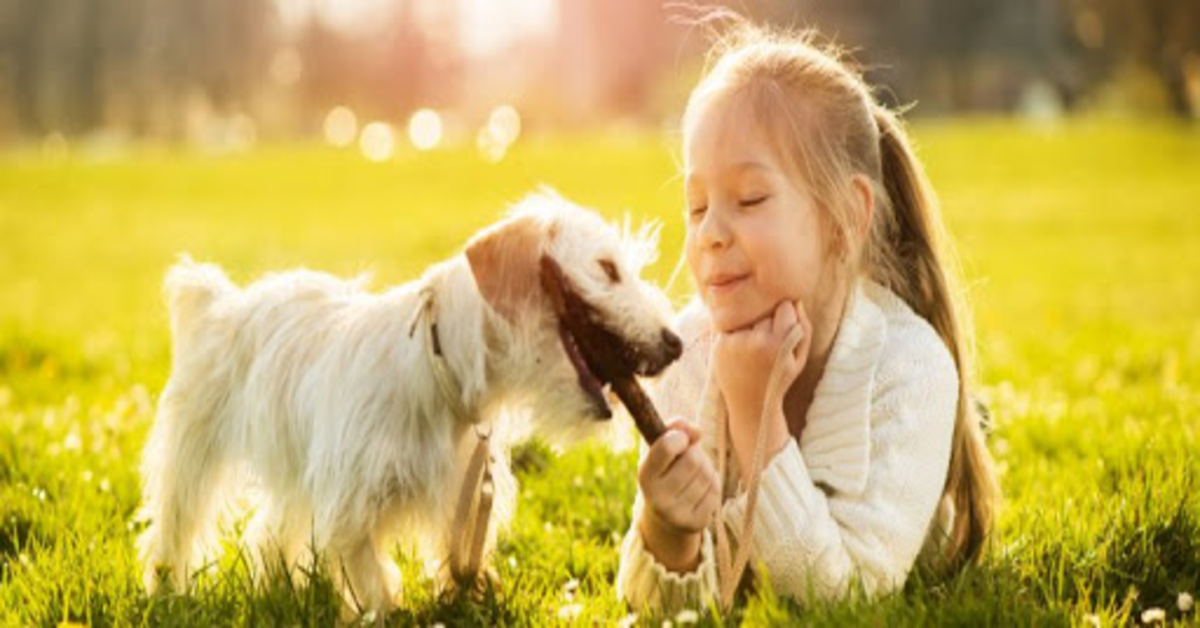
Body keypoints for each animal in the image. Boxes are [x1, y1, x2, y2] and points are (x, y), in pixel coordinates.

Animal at [136, 189, 681, 612]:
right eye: (606, 268)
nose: (676, 343)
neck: (437, 369)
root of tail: (223, 302)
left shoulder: (460, 498)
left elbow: (457, 561)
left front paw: (468, 599)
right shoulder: (351, 507)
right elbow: (372, 579)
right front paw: (386, 608)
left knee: (269, 532)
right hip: (193, 454)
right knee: (173, 527)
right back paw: (168, 591)